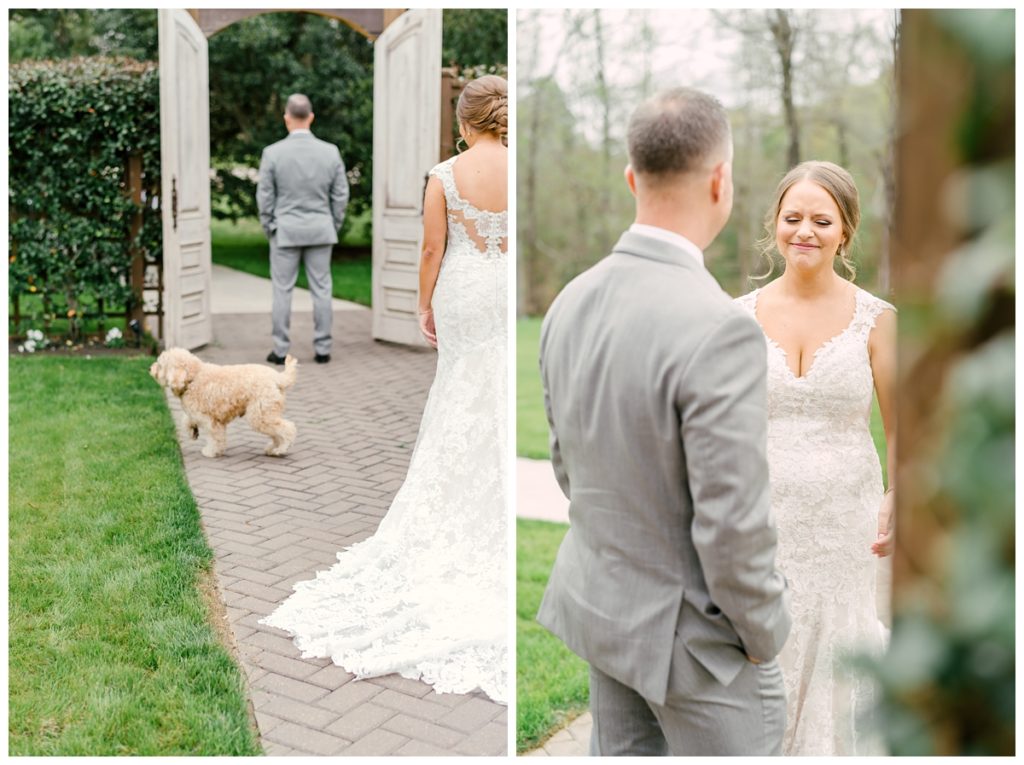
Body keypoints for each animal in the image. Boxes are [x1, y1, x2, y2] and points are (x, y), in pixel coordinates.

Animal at [149, 350, 299, 458]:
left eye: (160, 365)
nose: (150, 368)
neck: (193, 378)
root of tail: (278, 377)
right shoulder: (197, 414)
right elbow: (186, 420)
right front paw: (192, 431)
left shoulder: (211, 421)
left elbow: (215, 438)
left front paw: (211, 451)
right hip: (267, 414)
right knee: (277, 432)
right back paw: (273, 448)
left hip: (260, 416)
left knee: (288, 429)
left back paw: (281, 449)